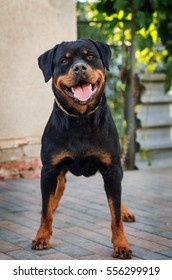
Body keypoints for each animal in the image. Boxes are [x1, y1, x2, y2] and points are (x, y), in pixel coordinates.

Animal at [31, 38, 134, 260]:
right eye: (63, 60)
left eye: (90, 56)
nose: (79, 67)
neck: (80, 119)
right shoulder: (48, 169)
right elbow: (45, 210)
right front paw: (42, 236)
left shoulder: (112, 170)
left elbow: (115, 214)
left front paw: (121, 244)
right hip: (58, 171)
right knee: (57, 191)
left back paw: (125, 211)